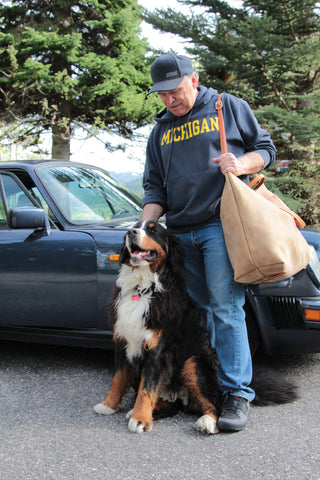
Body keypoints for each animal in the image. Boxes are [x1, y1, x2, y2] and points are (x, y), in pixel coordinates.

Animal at [94, 221, 298, 436]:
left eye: (152, 229)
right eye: (135, 226)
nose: (130, 232)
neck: (142, 288)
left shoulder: (158, 349)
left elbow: (146, 388)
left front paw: (140, 419)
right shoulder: (123, 342)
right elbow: (118, 379)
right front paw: (109, 405)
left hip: (194, 363)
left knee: (214, 403)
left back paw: (207, 422)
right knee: (172, 407)